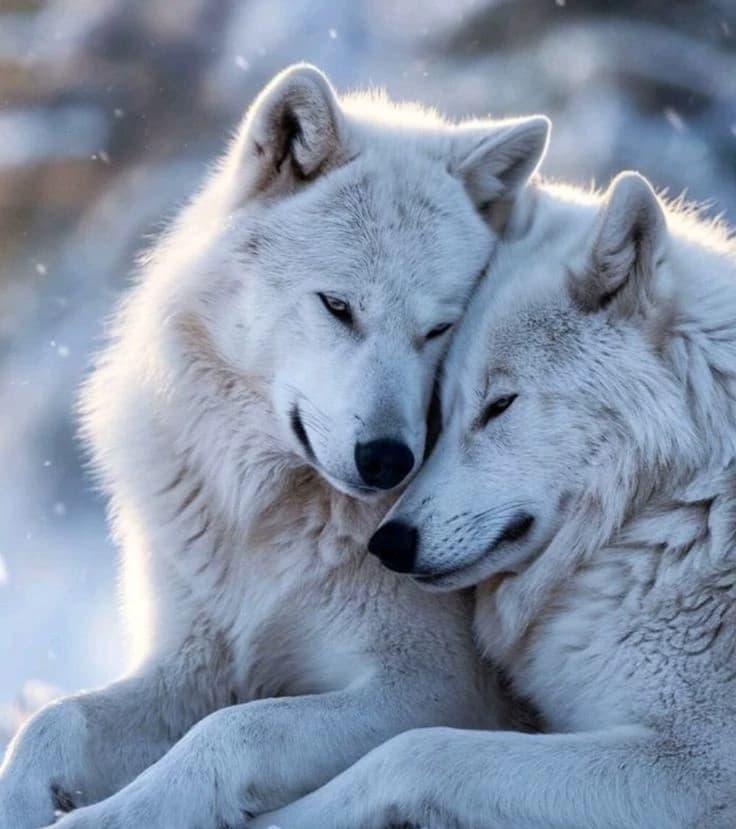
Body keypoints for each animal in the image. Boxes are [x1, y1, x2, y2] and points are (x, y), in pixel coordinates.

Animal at [0, 65, 550, 828]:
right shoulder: (195, 666)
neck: (265, 520)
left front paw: (107, 819)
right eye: (338, 307)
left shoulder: (430, 688)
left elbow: (236, 730)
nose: (389, 461)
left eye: (440, 329)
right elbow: (54, 719)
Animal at [252, 171, 736, 829]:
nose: (388, 544)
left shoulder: (694, 766)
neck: (669, 507)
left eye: (500, 405)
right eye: (441, 408)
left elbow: (414, 751)